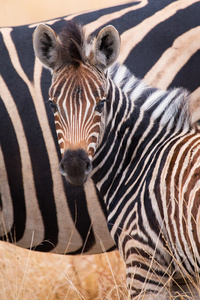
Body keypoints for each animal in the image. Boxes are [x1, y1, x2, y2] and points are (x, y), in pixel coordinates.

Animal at [33, 14, 200, 300]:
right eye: (53, 104)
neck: (142, 159)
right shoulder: (181, 278)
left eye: (101, 104)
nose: (75, 166)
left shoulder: (143, 262)